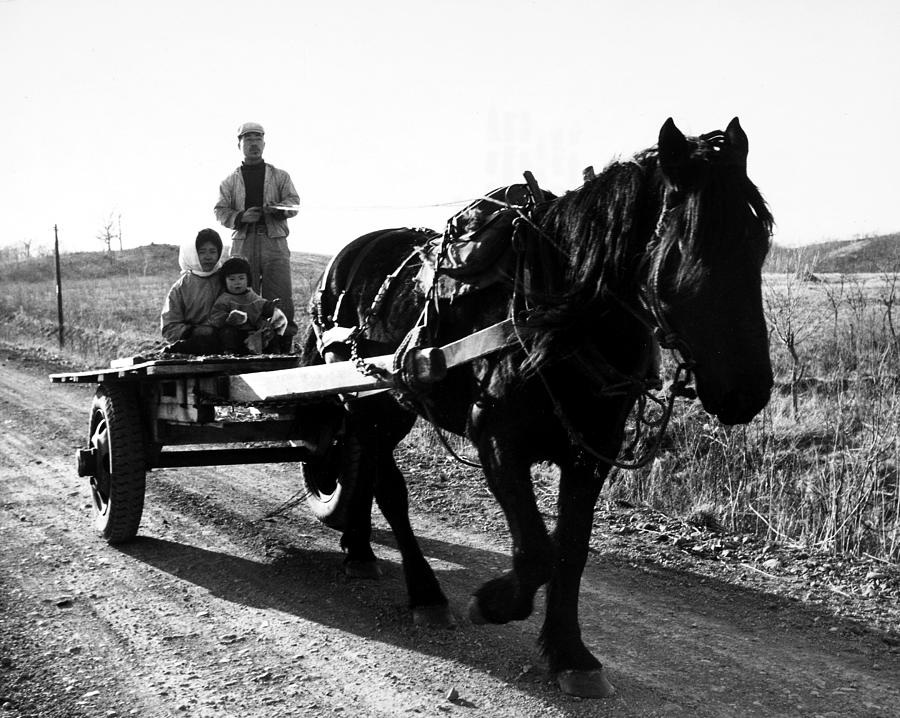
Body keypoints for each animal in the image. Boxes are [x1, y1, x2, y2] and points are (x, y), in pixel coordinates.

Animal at [298, 118, 772, 696]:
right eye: (689, 247)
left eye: (759, 241)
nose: (747, 391)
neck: (557, 312)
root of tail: (343, 262)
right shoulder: (499, 439)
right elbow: (537, 552)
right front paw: (495, 603)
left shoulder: (591, 452)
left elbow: (570, 550)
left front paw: (570, 653)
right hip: (377, 404)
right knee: (388, 485)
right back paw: (425, 592)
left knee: (368, 469)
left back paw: (361, 548)